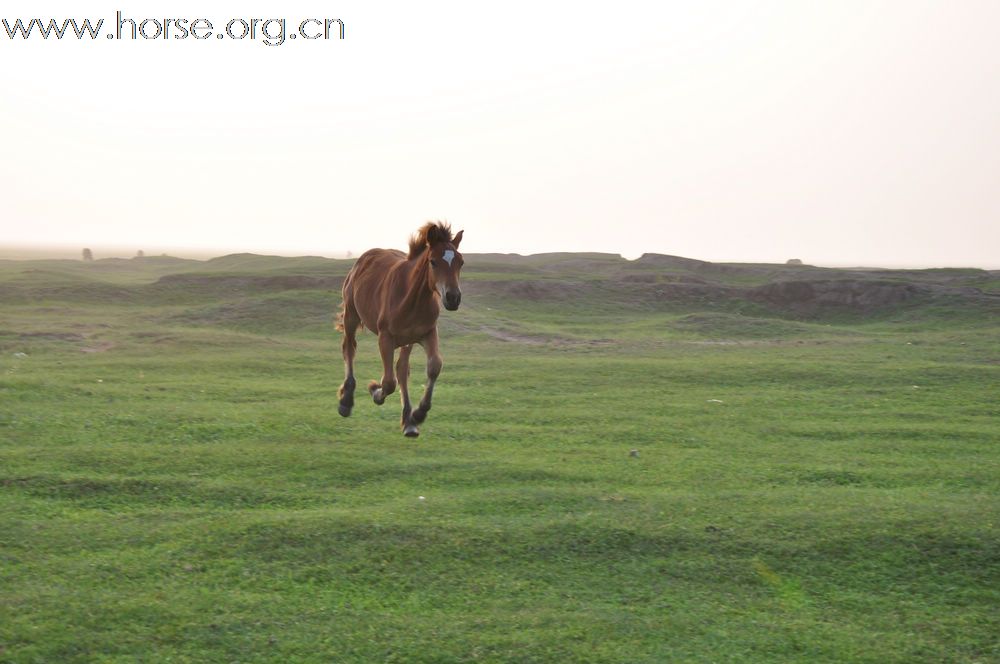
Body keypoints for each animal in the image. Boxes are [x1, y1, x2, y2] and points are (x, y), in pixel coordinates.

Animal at [334, 223, 462, 438]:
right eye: (433, 262)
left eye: (460, 262)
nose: (453, 297)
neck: (412, 297)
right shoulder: (386, 337)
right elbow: (388, 382)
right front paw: (375, 392)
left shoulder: (428, 333)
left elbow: (433, 366)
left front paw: (418, 414)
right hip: (351, 315)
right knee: (349, 348)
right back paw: (346, 401)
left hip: (406, 340)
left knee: (402, 370)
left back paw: (409, 421)